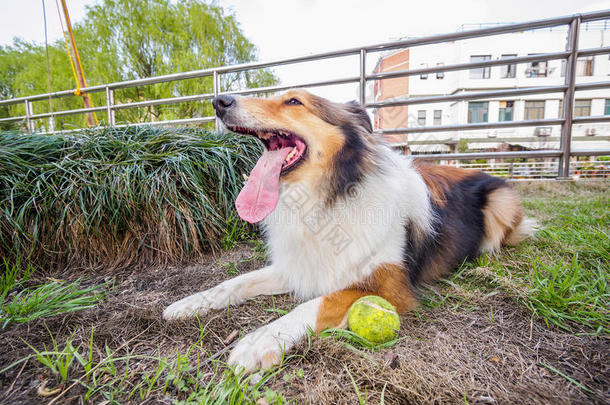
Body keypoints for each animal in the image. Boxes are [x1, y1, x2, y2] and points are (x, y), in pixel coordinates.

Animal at [164, 90, 536, 370]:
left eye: (294, 101)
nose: (219, 101)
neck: (329, 196)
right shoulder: (303, 264)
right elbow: (235, 282)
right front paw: (190, 303)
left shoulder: (391, 284)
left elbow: (320, 303)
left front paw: (260, 341)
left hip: (501, 203)